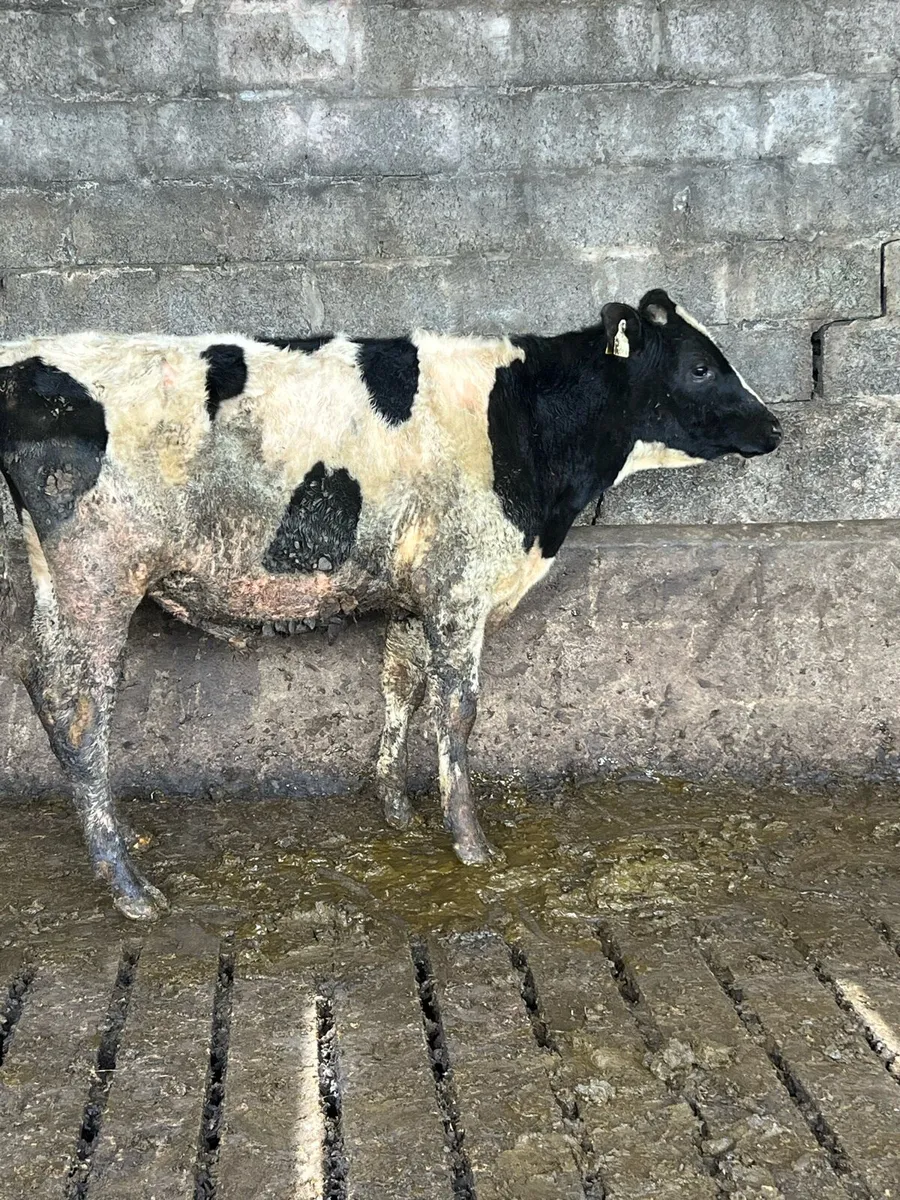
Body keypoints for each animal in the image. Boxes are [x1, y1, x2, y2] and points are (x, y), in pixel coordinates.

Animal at [0, 289, 781, 918]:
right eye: (702, 366)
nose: (775, 426)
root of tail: (22, 359)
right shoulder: (461, 583)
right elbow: (457, 710)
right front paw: (469, 842)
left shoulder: (414, 591)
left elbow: (400, 685)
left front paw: (397, 808)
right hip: (99, 574)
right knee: (82, 708)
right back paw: (128, 886)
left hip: (59, 576)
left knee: (41, 680)